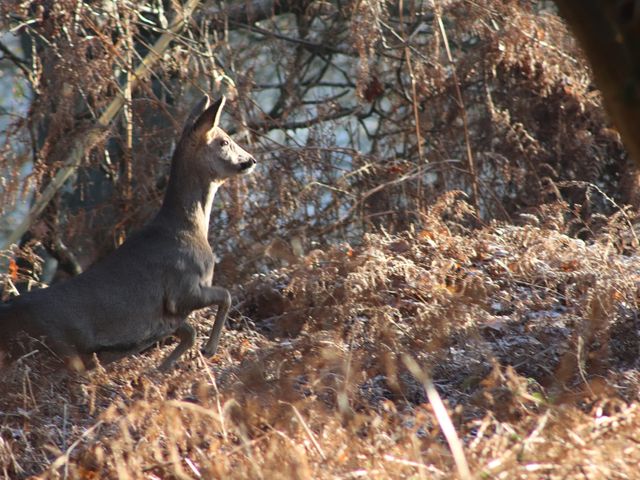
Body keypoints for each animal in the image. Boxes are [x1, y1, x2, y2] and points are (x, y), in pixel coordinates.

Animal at [0, 95, 256, 371]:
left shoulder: (167, 315)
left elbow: (188, 332)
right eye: (224, 141)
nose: (251, 159)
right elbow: (225, 296)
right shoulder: (182, 288)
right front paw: (209, 349)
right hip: (55, 348)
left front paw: (161, 369)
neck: (190, 228)